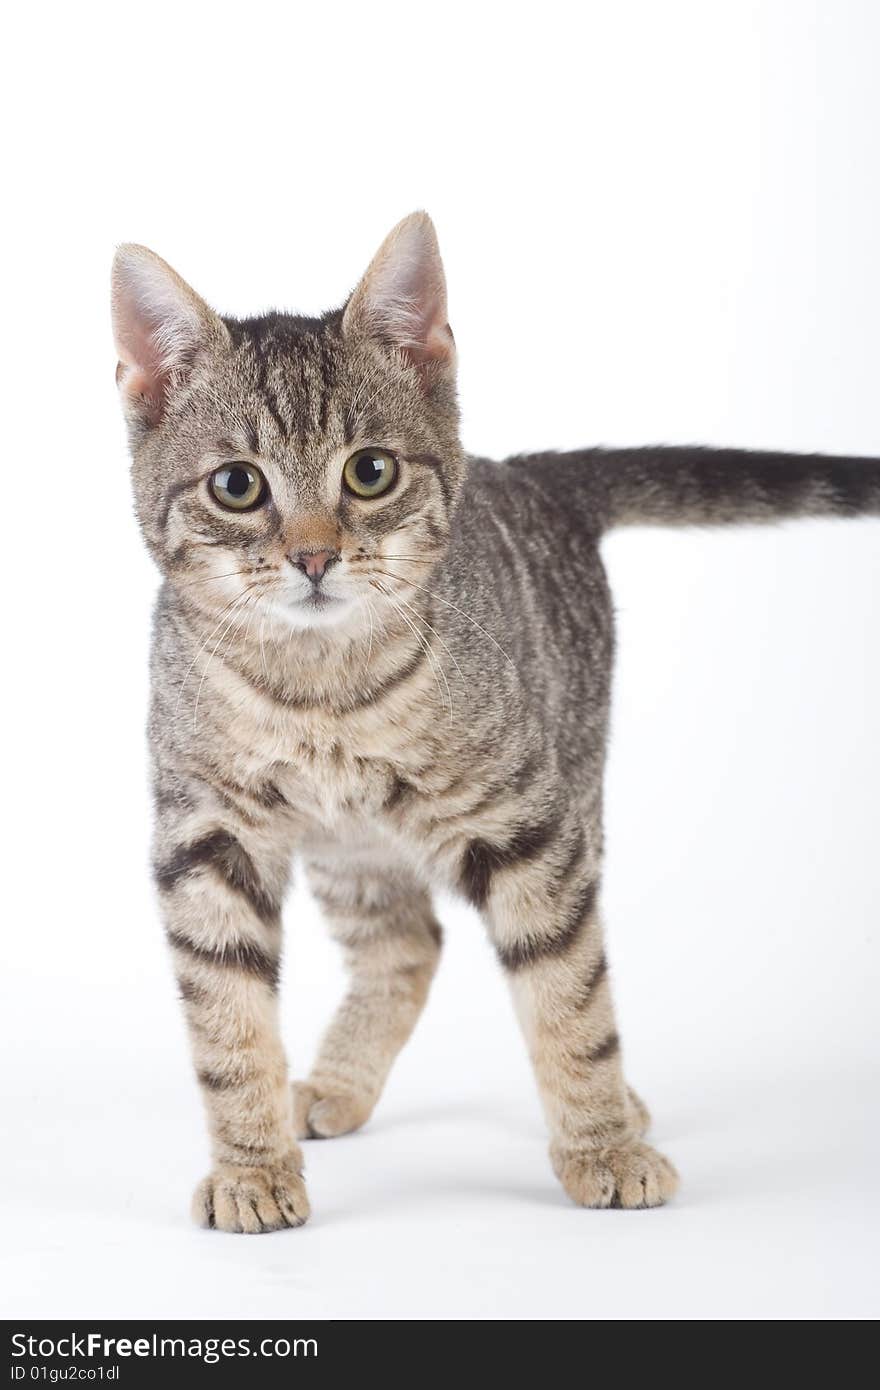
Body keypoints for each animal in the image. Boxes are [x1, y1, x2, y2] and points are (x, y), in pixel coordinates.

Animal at [111, 211, 878, 1234]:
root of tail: (534, 479)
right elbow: (225, 1023)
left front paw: (602, 1142)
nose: (313, 556)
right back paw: (334, 1084)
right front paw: (251, 1167)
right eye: (237, 486)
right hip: (354, 848)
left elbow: (570, 994)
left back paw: (614, 1104)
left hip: (574, 779)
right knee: (408, 946)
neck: (320, 689)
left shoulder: (529, 827)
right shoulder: (206, 834)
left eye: (370, 472)